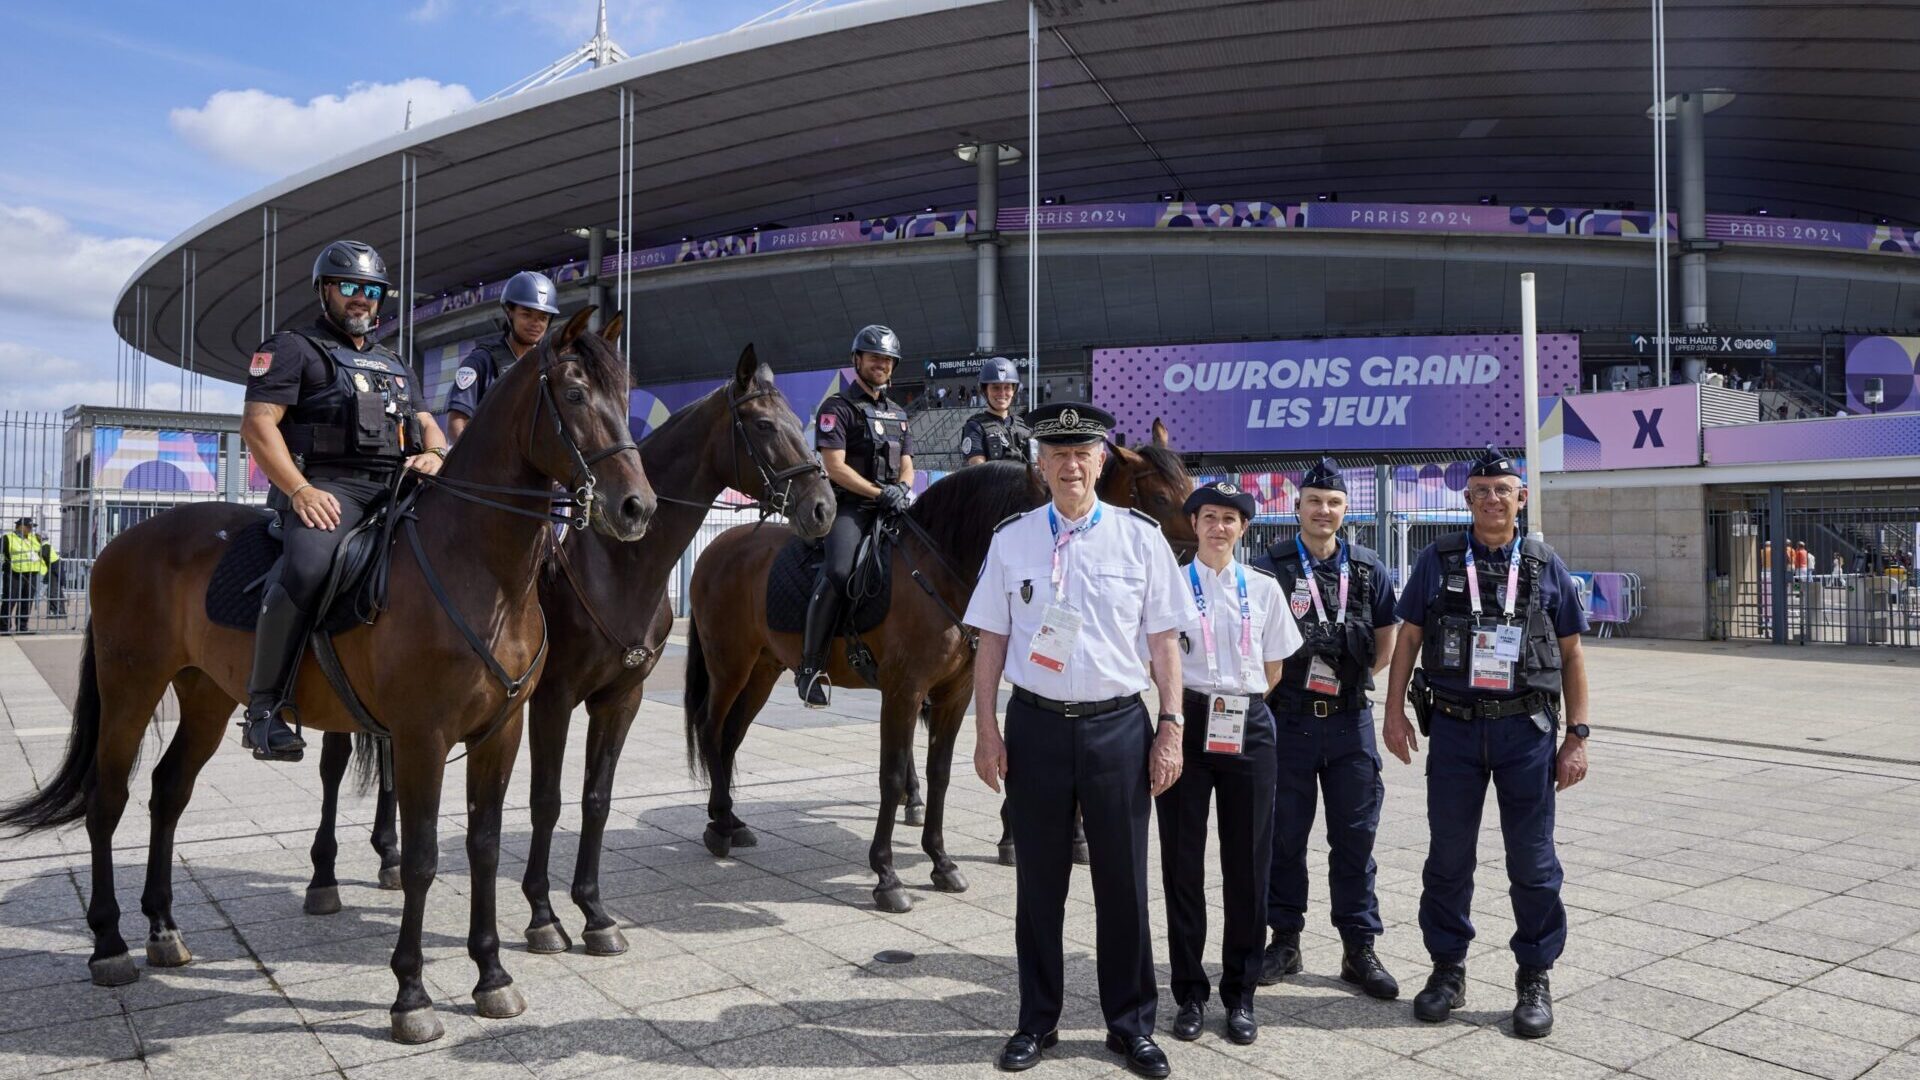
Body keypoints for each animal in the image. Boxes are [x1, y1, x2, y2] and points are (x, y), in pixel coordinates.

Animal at [0, 307, 652, 1037]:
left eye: (624, 395)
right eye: (574, 394)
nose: (637, 507)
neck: (479, 568)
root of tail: (122, 543)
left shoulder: (500, 732)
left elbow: (483, 846)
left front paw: (492, 975)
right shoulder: (422, 738)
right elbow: (421, 860)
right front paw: (411, 995)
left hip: (207, 695)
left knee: (168, 791)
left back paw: (164, 930)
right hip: (130, 687)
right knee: (107, 800)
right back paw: (110, 943)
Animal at [683, 424, 1190, 910]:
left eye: (1187, 486)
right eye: (1161, 497)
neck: (942, 569)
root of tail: (718, 545)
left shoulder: (955, 692)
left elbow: (942, 771)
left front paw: (944, 861)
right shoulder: (905, 690)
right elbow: (890, 776)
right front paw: (887, 876)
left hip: (763, 670)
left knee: (730, 736)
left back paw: (731, 819)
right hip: (730, 666)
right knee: (711, 728)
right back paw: (719, 826)